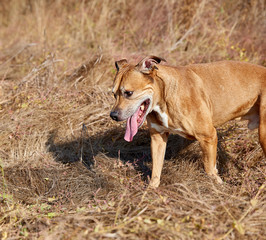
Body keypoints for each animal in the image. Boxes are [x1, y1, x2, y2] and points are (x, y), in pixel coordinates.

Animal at [110, 56, 266, 188]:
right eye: (114, 94)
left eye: (128, 93)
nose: (113, 115)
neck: (164, 95)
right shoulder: (158, 138)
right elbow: (156, 170)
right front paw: (151, 191)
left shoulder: (208, 137)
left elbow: (209, 169)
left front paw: (218, 187)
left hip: (263, 134)